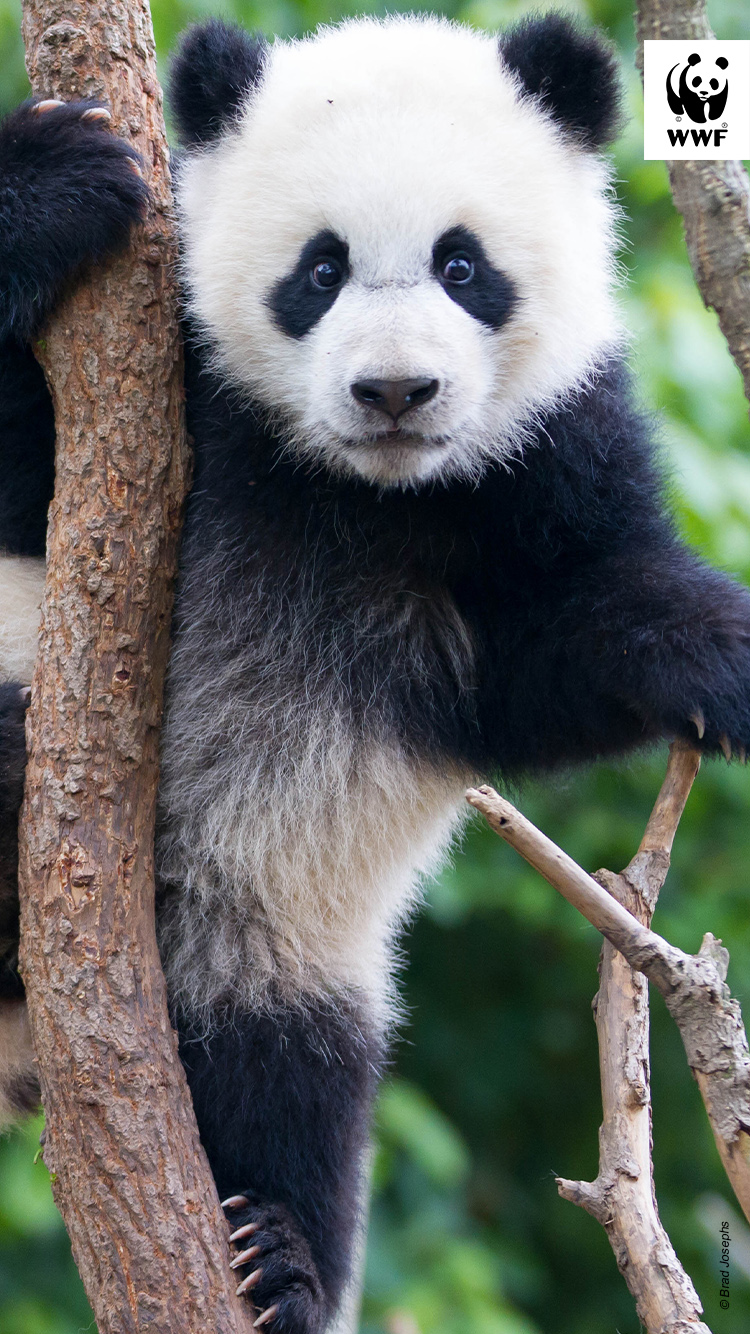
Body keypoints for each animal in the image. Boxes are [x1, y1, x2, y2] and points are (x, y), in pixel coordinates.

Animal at [1, 15, 747, 1334]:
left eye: (463, 265)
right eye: (319, 271)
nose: (395, 390)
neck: (362, 491)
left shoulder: (544, 464)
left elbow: (568, 646)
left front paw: (727, 658)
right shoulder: (161, 394)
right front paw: (57, 181)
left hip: (275, 945)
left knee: (289, 1082)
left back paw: (274, 1256)